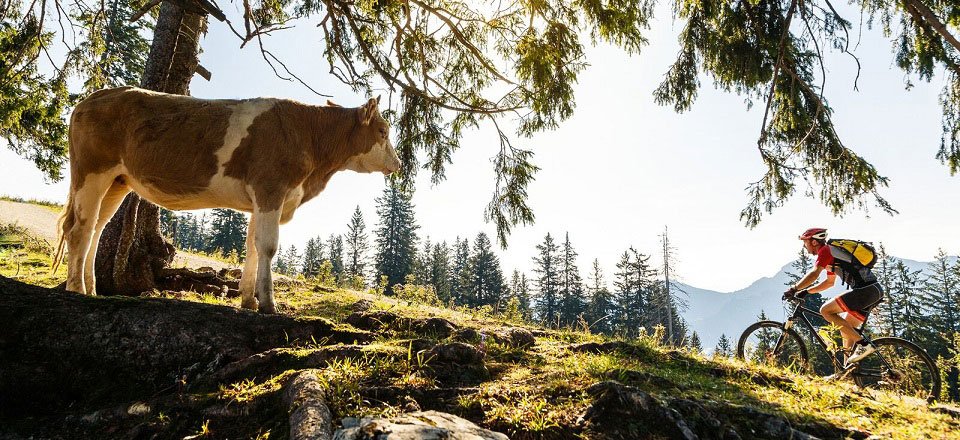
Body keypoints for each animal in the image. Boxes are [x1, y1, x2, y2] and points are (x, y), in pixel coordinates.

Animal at [53, 86, 398, 312]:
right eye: (383, 130)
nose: (397, 164)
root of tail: (93, 97)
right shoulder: (271, 188)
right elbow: (268, 247)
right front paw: (268, 304)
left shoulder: (261, 200)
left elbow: (252, 247)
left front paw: (247, 300)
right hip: (92, 171)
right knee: (79, 229)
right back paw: (76, 290)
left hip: (117, 181)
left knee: (95, 228)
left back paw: (91, 289)